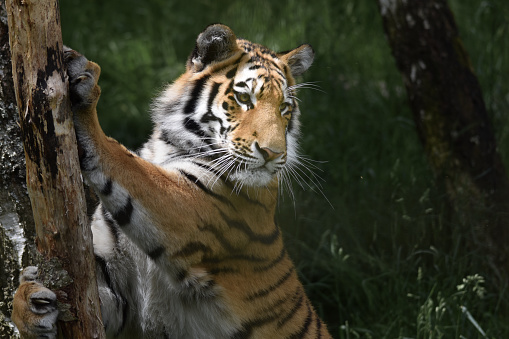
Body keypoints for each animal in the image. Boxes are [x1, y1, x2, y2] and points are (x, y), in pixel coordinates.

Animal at [11, 22, 332, 338]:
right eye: (243, 98)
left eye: (284, 108)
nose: (273, 153)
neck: (168, 146)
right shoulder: (117, 287)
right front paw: (31, 301)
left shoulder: (189, 205)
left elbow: (125, 161)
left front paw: (84, 90)